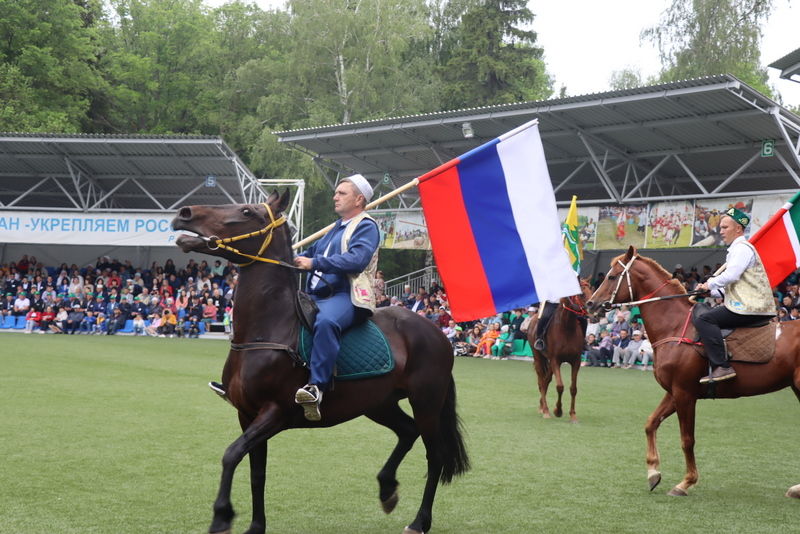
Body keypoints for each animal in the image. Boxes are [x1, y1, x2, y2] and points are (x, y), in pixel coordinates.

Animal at [170, 193, 468, 534]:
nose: (184, 213)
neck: (270, 329)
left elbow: (231, 455)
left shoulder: (275, 413)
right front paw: (255, 526)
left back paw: (419, 521)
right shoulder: (247, 415)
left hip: (427, 402)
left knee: (435, 456)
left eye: (247, 211)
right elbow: (257, 473)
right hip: (378, 403)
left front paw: (221, 516)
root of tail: (438, 334)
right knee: (407, 431)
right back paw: (386, 489)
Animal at [524, 282, 592, 426]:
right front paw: (558, 411)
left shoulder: (575, 361)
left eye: (591, 290)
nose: (594, 306)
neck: (567, 327)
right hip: (538, 357)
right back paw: (545, 410)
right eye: (581, 294)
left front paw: (573, 415)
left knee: (546, 380)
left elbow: (573, 388)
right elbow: (560, 386)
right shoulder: (556, 360)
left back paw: (542, 406)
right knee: (541, 381)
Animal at [580, 249, 800, 500]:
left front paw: (685, 482)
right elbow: (651, 423)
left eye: (612, 276)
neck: (675, 326)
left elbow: (687, 439)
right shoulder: (674, 392)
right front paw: (653, 473)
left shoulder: (685, 393)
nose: (591, 303)